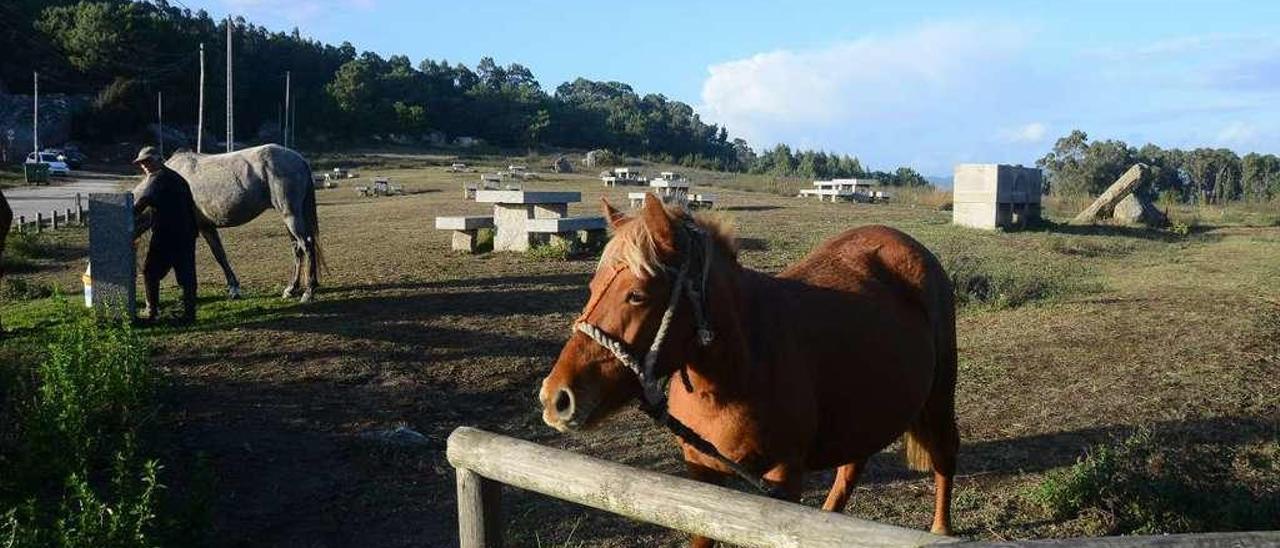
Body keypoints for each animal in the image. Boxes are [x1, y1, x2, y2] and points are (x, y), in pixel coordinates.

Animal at [135, 143, 322, 302]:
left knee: (306, 244)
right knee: (297, 248)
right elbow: (220, 255)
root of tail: (300, 159)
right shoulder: (207, 227)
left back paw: (308, 292)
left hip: (291, 215)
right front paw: (233, 288)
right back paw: (291, 289)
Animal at [535, 194, 957, 545]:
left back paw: (941, 528)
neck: (739, 370)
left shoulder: (785, 480)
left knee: (943, 456)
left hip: (938, 398)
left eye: (636, 295)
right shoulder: (703, 476)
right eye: (592, 287)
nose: (556, 398)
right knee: (852, 469)